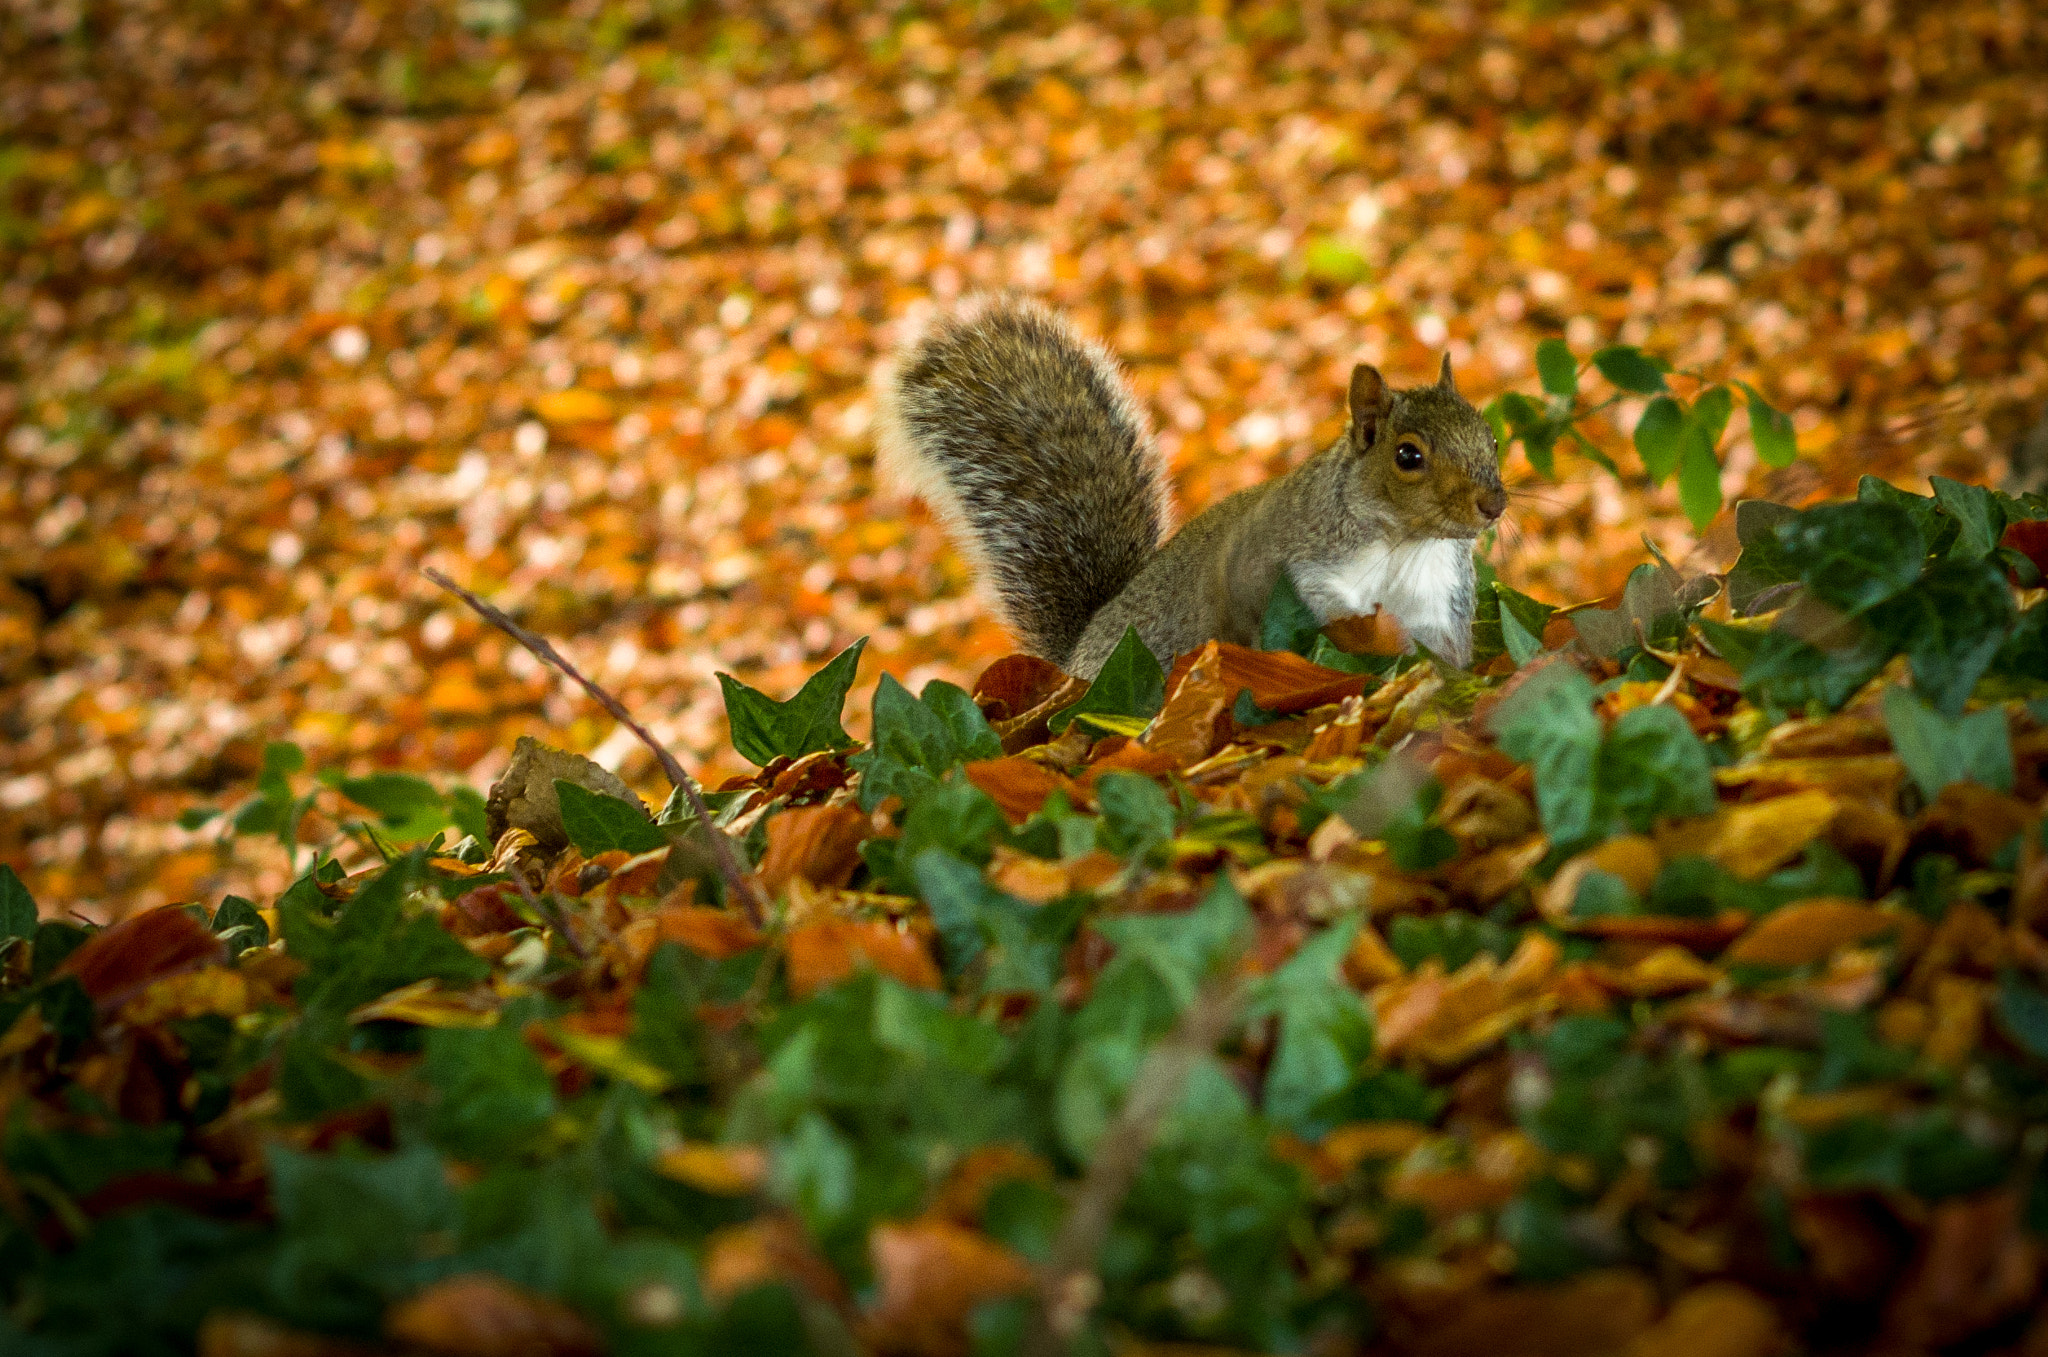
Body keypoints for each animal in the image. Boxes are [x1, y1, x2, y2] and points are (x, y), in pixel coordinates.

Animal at [872, 296, 1515, 679]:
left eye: (1490, 436)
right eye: (1408, 456)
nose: (1494, 504)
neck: (1404, 545)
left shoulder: (1440, 605)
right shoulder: (1280, 565)